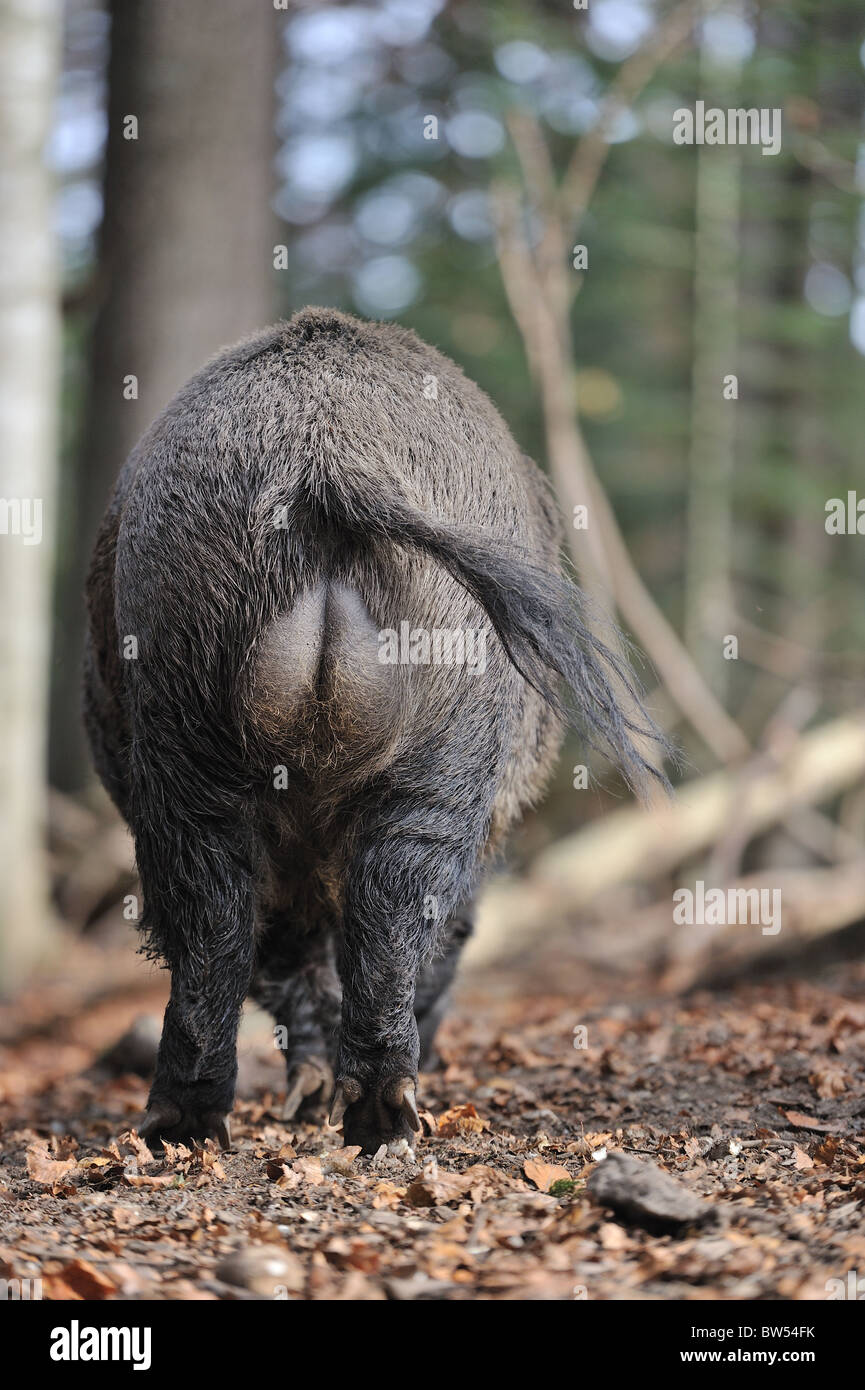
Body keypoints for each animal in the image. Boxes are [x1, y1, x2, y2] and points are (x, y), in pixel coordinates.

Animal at [84, 307, 667, 1154]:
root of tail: (326, 454)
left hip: (181, 687)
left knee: (216, 909)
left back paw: (195, 1130)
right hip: (449, 724)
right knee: (389, 899)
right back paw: (376, 1123)